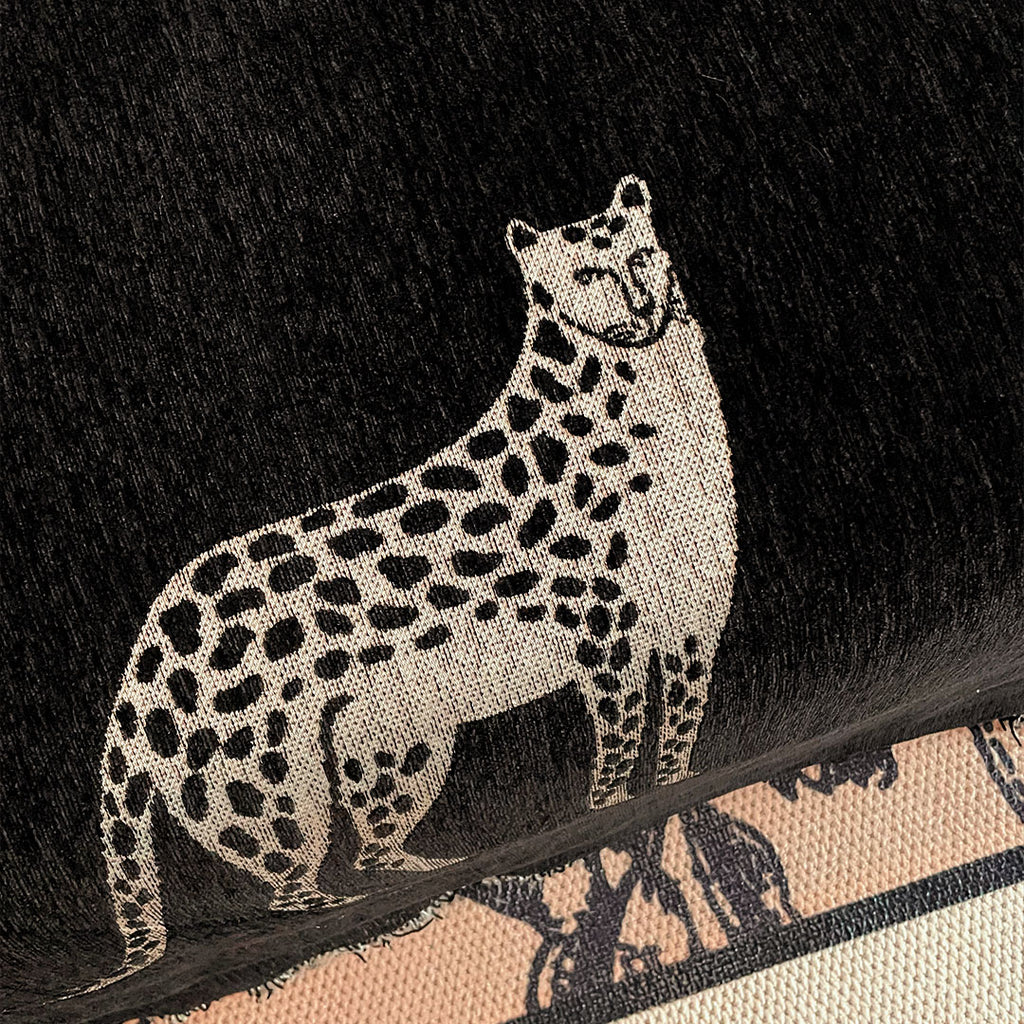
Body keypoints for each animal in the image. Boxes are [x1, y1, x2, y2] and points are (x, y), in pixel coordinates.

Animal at [75, 175, 738, 993]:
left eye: (642, 254)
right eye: (588, 275)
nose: (641, 301)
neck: (664, 394)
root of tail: (143, 654)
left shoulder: (692, 620)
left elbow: (678, 729)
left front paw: (674, 782)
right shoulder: (600, 624)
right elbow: (617, 740)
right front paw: (606, 812)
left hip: (399, 746)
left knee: (369, 847)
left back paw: (433, 865)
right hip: (270, 791)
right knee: (292, 887)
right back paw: (349, 907)